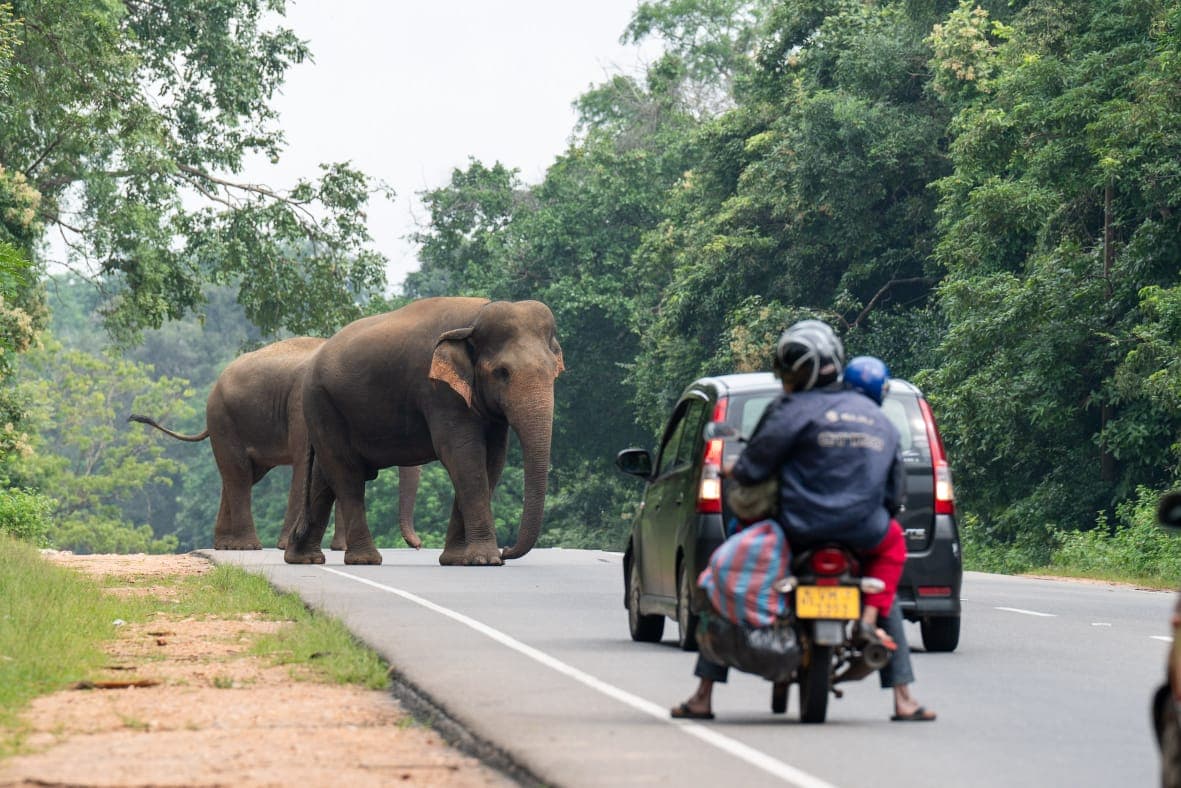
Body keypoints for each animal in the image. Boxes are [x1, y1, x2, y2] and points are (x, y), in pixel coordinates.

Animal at [129, 336, 425, 550]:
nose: (418, 544)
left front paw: (339, 549)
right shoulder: (302, 408)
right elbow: (306, 467)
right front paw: (287, 545)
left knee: (241, 476)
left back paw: (225, 546)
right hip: (222, 419)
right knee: (238, 474)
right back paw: (248, 547)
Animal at [285, 296, 564, 567]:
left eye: (554, 371)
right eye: (502, 373)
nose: (506, 551)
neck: (475, 317)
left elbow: (492, 460)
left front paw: (458, 560)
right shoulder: (438, 392)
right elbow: (463, 455)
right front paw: (486, 560)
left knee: (325, 475)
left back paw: (303, 558)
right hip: (322, 404)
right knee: (346, 474)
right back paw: (365, 559)